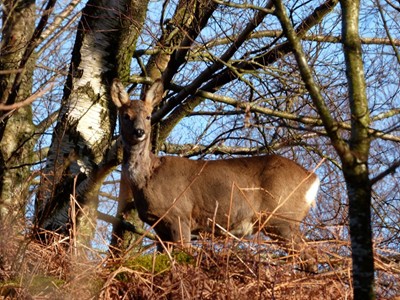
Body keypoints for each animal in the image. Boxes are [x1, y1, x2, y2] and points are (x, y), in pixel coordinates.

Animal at [111, 78, 320, 270]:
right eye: (126, 115)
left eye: (148, 116)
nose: (139, 132)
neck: (148, 177)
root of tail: (312, 178)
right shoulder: (160, 227)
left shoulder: (180, 215)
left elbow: (184, 254)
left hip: (282, 217)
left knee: (310, 255)